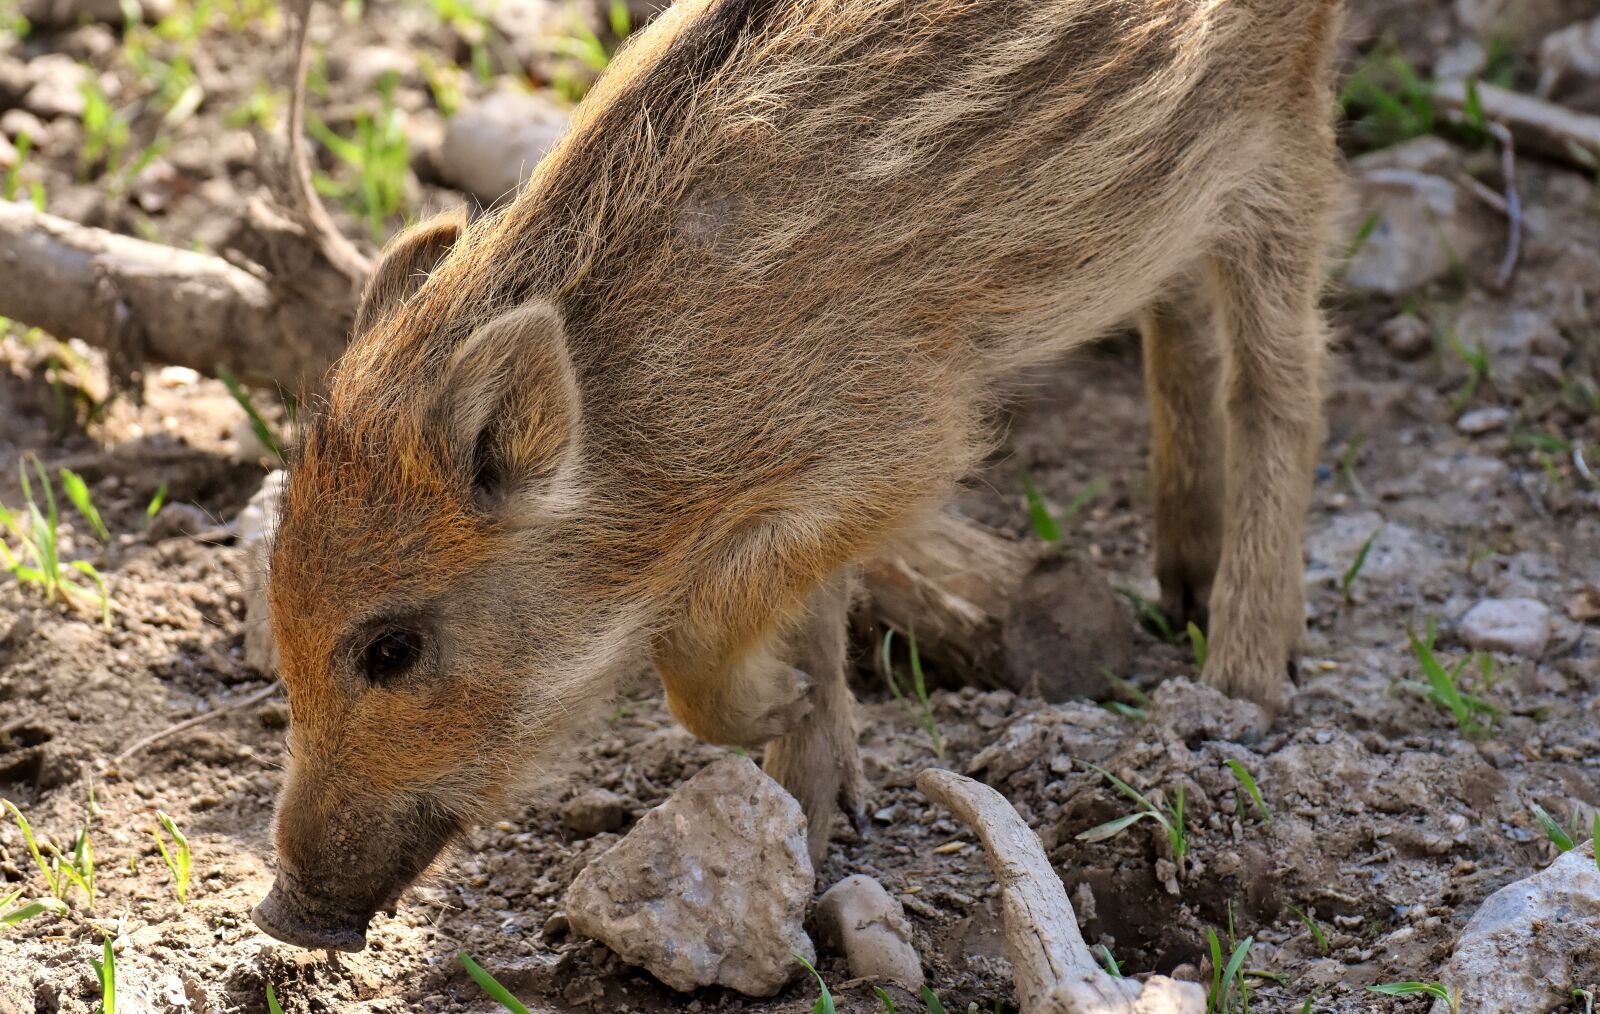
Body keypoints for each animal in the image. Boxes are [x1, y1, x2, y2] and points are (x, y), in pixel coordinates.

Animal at [252, 0, 1345, 951]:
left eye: (392, 647)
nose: (283, 915)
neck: (649, 418)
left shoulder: (908, 437)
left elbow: (708, 617)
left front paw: (779, 722)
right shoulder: (821, 475)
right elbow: (805, 605)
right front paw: (811, 808)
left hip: (1281, 132)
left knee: (1282, 381)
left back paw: (1242, 683)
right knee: (1181, 312)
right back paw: (1181, 585)